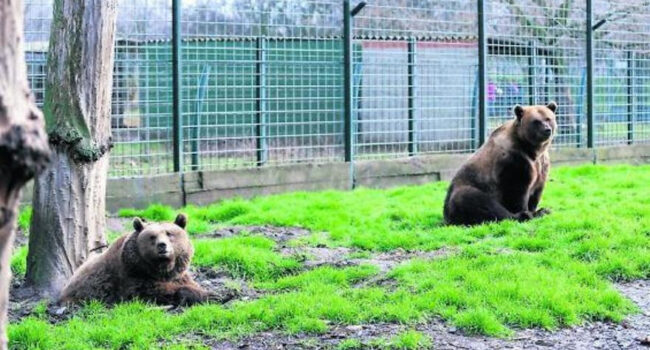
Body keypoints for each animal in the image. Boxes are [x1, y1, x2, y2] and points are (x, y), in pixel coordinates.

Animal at [58, 213, 210, 306]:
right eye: (152, 236)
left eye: (169, 233)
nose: (162, 245)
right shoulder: (132, 275)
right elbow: (152, 291)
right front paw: (209, 295)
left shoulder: (178, 274)